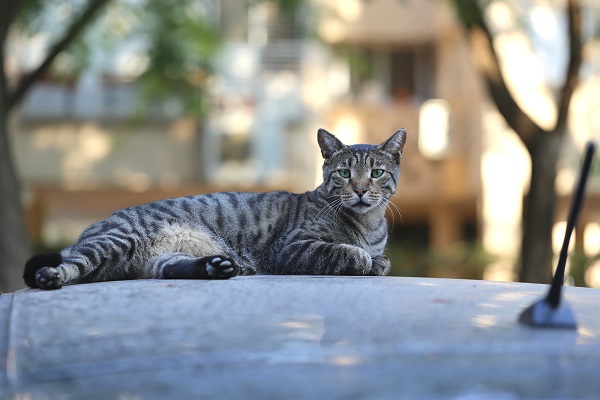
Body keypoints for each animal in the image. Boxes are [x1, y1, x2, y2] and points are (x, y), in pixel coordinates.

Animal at [23, 129, 408, 290]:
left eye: (376, 173)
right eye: (344, 173)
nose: (360, 189)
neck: (368, 225)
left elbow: (382, 260)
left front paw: (377, 261)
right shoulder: (292, 248)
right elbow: (351, 254)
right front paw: (363, 259)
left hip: (158, 258)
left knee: (171, 269)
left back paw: (216, 267)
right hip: (115, 241)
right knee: (70, 266)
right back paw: (50, 277)